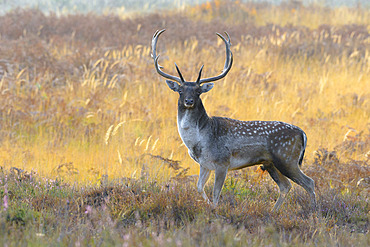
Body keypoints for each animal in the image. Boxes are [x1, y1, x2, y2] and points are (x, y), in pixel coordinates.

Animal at [150, 28, 316, 210]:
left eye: (198, 91)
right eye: (180, 91)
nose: (189, 101)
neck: (200, 140)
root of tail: (303, 134)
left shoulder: (223, 161)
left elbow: (216, 193)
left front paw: (215, 210)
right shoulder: (204, 164)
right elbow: (199, 187)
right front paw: (209, 207)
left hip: (287, 158)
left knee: (309, 182)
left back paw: (315, 210)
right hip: (270, 163)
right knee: (286, 186)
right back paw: (274, 212)